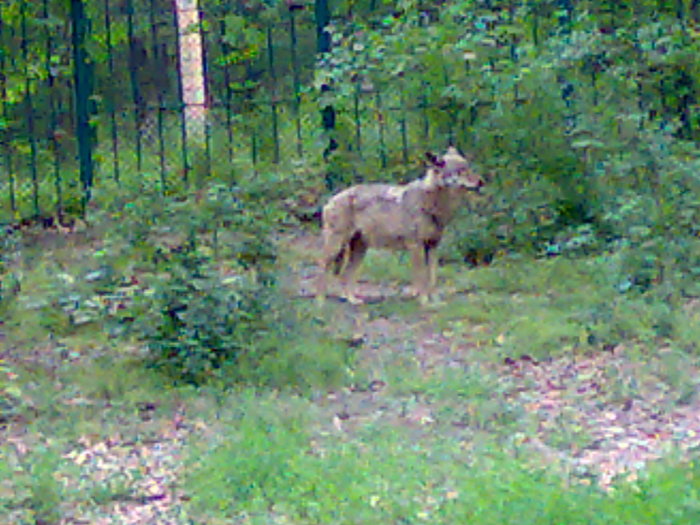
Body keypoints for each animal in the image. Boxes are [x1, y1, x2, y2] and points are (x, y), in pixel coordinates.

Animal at [316, 146, 482, 302]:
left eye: (468, 167)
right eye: (461, 171)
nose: (482, 181)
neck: (434, 205)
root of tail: (329, 201)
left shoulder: (433, 246)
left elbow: (433, 279)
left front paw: (436, 302)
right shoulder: (416, 246)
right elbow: (422, 279)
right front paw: (424, 302)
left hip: (359, 251)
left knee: (345, 276)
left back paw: (352, 300)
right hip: (336, 247)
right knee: (322, 268)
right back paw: (320, 303)